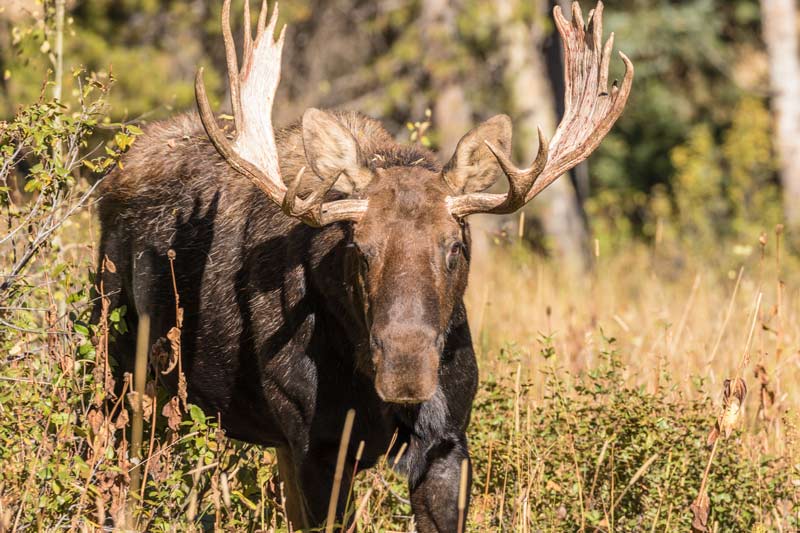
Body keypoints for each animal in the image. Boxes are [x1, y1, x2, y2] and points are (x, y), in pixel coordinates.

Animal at [94, 0, 632, 528]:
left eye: (455, 245)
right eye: (359, 247)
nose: (406, 369)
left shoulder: (448, 441)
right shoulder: (319, 445)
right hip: (127, 376)